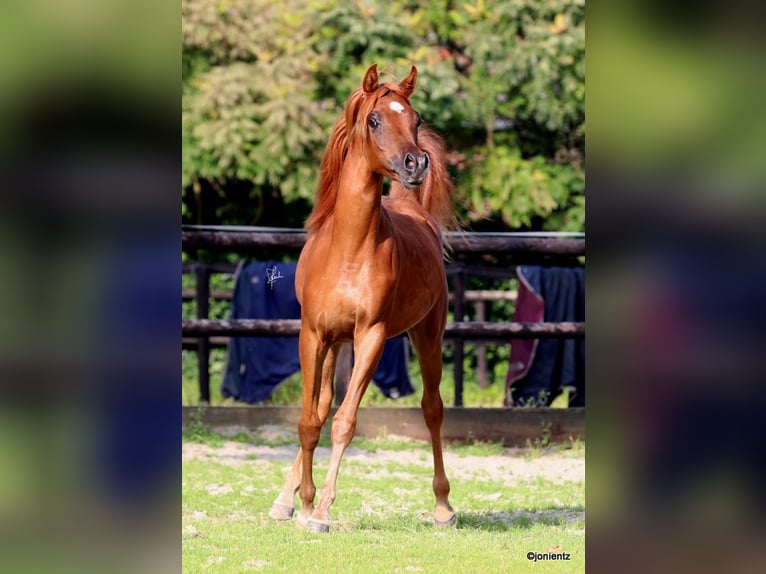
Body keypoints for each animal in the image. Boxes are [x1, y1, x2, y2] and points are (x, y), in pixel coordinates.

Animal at [272, 64, 456, 536]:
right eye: (374, 120)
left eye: (416, 119)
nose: (416, 163)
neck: (349, 249)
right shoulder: (313, 335)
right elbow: (310, 420)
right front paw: (301, 501)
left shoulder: (371, 337)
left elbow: (344, 422)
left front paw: (319, 510)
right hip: (335, 344)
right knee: (319, 406)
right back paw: (284, 499)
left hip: (427, 336)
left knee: (432, 409)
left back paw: (443, 505)